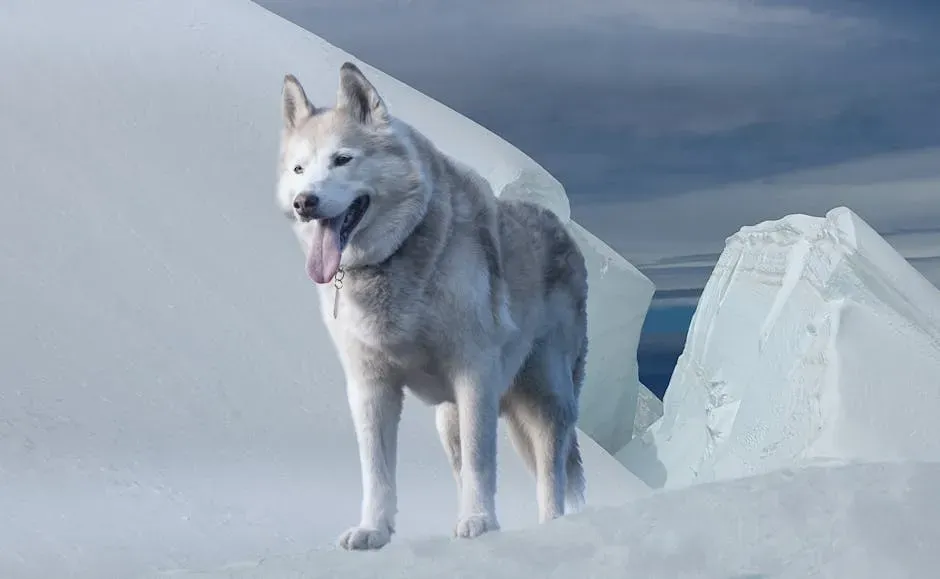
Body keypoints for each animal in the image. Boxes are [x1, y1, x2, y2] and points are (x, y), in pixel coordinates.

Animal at [277, 62, 589, 551]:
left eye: (343, 159)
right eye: (299, 168)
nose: (304, 202)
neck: (394, 259)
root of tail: (561, 228)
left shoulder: (473, 373)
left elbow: (483, 463)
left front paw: (480, 522)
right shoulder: (370, 386)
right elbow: (377, 472)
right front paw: (374, 531)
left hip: (545, 400)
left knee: (551, 476)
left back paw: (547, 526)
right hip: (450, 419)